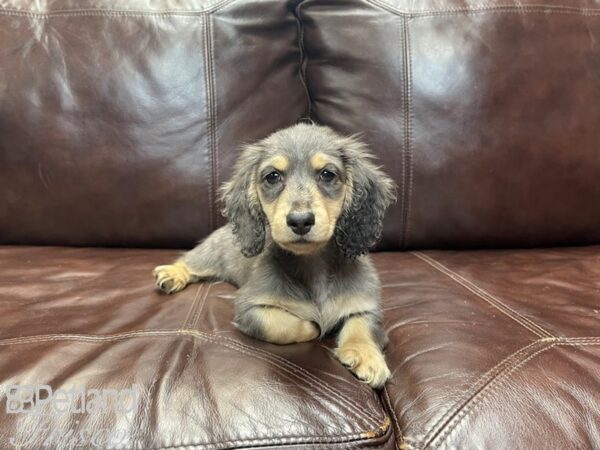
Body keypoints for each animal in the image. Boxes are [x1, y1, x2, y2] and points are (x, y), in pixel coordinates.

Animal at [155, 122, 396, 386]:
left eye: (327, 174)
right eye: (272, 176)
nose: (300, 221)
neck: (313, 265)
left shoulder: (366, 305)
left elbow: (362, 326)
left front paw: (366, 355)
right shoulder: (250, 308)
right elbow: (286, 325)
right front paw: (315, 326)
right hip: (208, 256)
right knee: (188, 262)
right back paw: (172, 274)